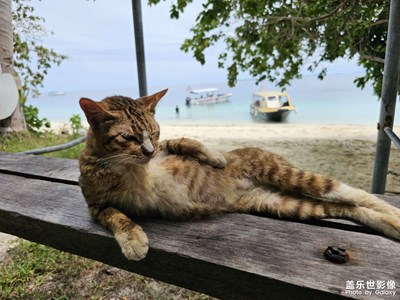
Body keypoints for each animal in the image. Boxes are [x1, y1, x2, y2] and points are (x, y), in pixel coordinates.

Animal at [78, 88, 400, 260]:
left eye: (155, 132)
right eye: (128, 137)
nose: (147, 151)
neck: (131, 167)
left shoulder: (163, 150)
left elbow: (183, 141)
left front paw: (215, 156)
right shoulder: (95, 205)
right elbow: (116, 216)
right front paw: (133, 239)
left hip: (287, 174)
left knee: (353, 193)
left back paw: (393, 215)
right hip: (279, 203)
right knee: (346, 207)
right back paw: (390, 224)